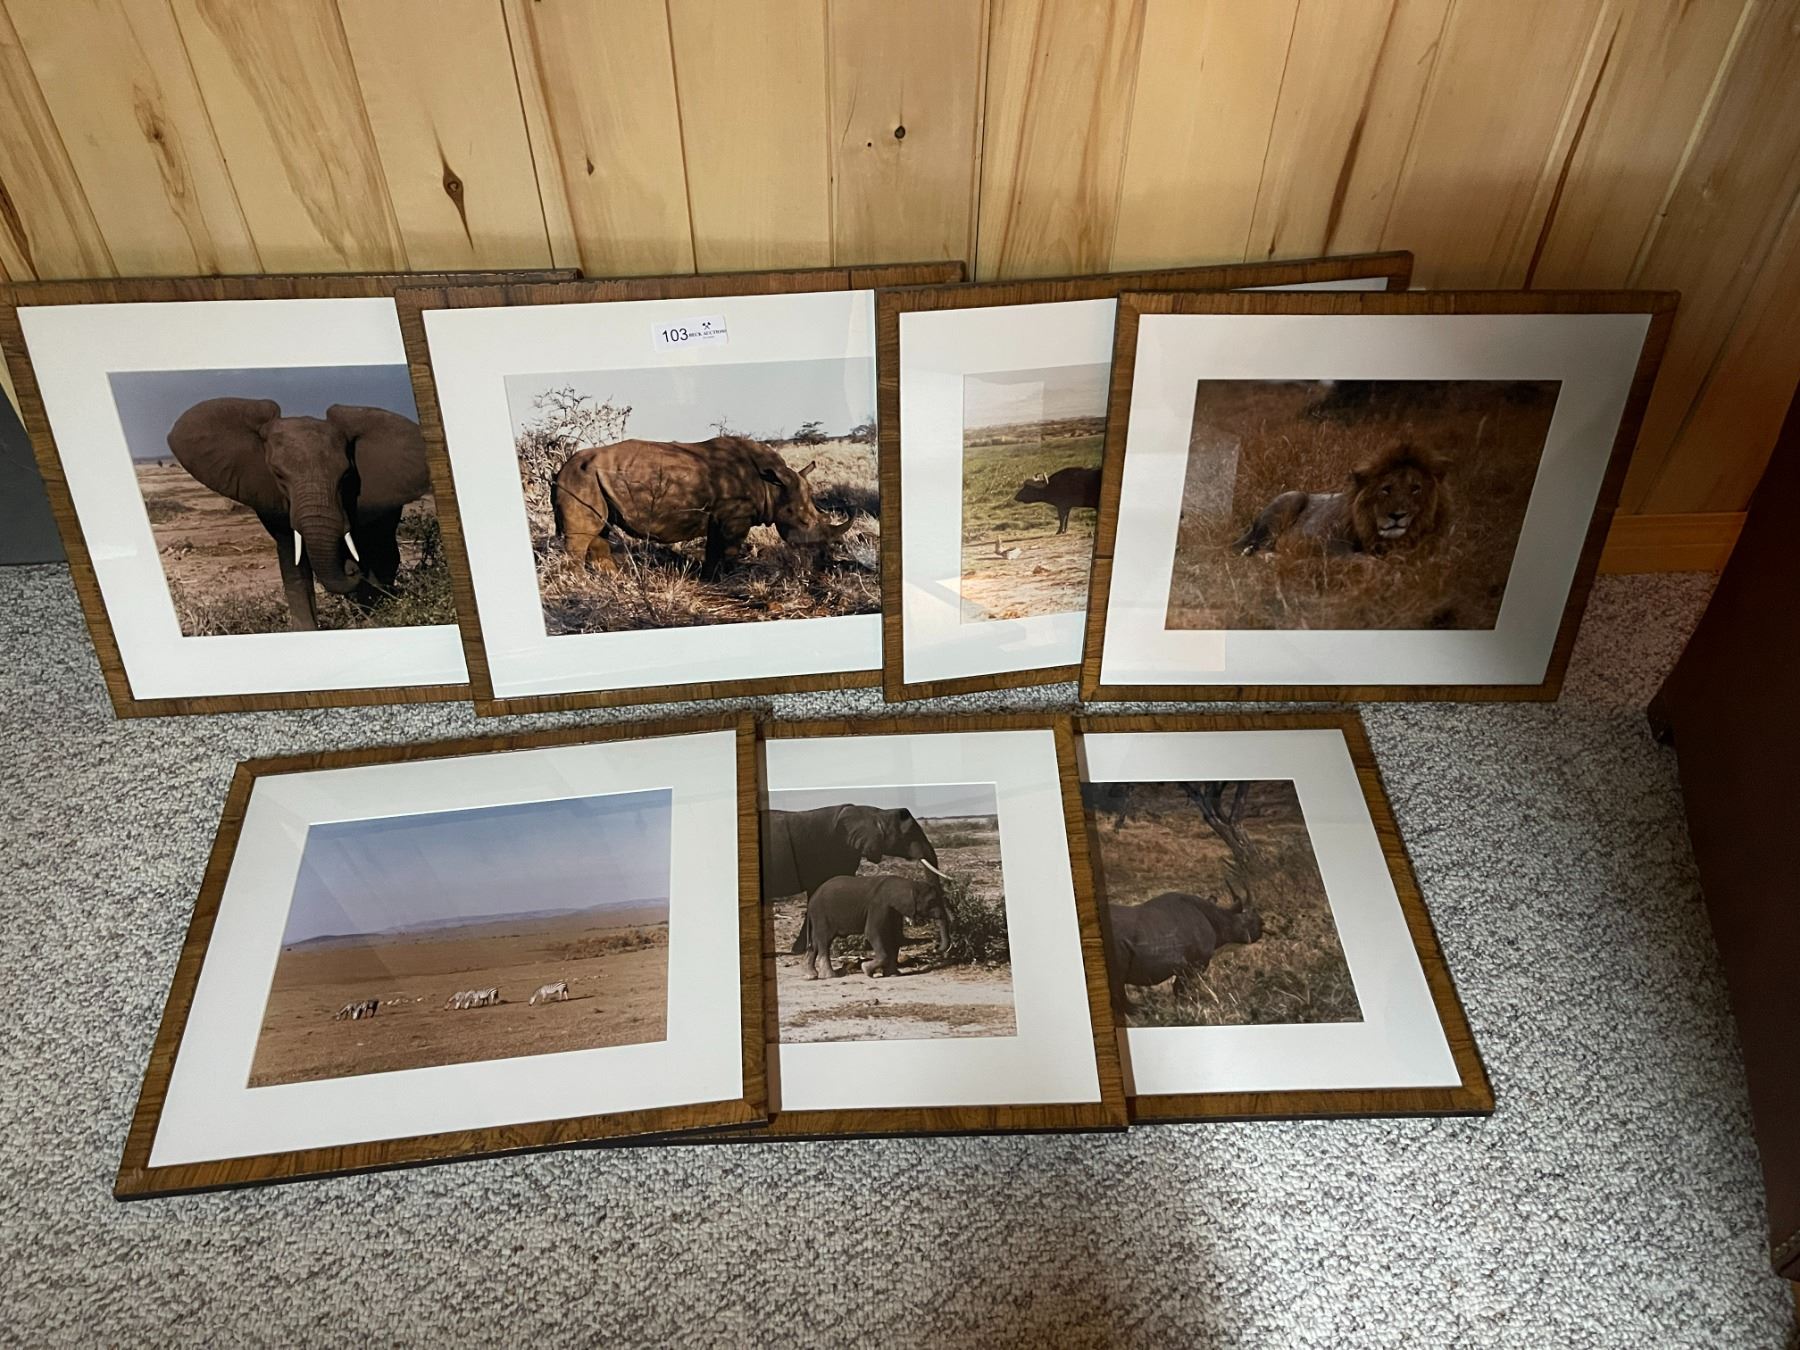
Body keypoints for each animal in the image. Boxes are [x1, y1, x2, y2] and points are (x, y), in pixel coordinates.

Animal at [165, 397, 431, 631]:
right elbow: (293, 564)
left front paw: (373, 618)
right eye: (278, 474)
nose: (350, 569)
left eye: (346, 475)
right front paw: (307, 630)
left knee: (383, 550)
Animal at [552, 436, 852, 580]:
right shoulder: (736, 516)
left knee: (599, 529)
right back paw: (582, 584)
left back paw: (614, 580)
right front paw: (733, 578)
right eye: (803, 522)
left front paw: (710, 578)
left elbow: (714, 546)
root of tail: (561, 468)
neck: (773, 485)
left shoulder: (724, 516)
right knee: (582, 535)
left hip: (590, 478)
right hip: (580, 478)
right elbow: (729, 548)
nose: (821, 558)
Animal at [804, 872, 953, 979]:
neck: (909, 883)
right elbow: (873, 933)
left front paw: (893, 974)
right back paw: (830, 976)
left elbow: (895, 938)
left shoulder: (894, 911)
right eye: (931, 901)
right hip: (821, 915)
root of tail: (810, 901)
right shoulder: (879, 906)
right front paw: (866, 969)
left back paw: (811, 975)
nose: (935, 947)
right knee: (824, 941)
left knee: (815, 943)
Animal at [1230, 443, 1451, 558]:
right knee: (1259, 549)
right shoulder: (1331, 548)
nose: (1397, 515)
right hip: (1291, 498)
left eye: (1415, 489)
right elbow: (1365, 561)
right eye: (1385, 489)